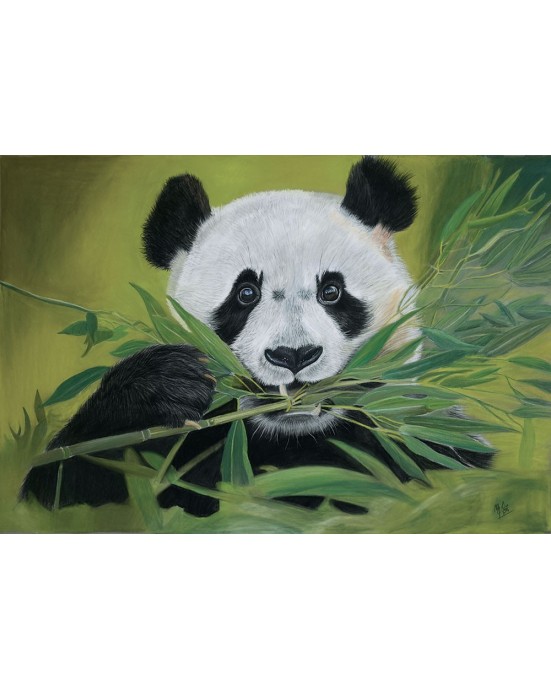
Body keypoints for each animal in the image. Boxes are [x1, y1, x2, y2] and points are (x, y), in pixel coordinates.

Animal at [21, 156, 492, 517]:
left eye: (332, 291)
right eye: (245, 293)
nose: (294, 355)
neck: (292, 436)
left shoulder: (418, 437)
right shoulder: (181, 448)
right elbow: (67, 478)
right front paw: (166, 384)